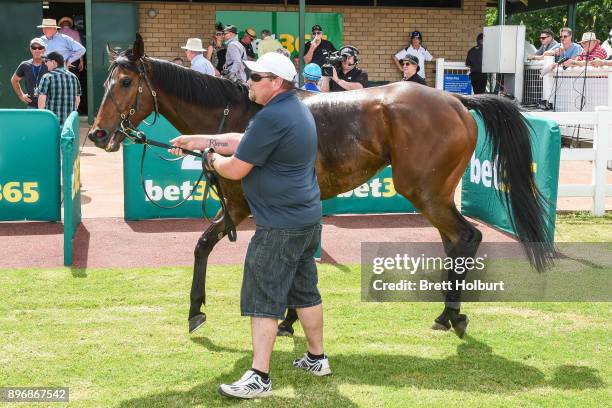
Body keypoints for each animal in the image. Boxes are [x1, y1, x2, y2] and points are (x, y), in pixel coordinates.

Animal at [89, 35, 556, 340]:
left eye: (126, 83)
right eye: (106, 83)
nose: (98, 134)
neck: (240, 115)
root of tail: (457, 100)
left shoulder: (247, 207)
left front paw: (278, 319)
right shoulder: (240, 208)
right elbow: (205, 245)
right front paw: (203, 311)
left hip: (425, 191)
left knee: (467, 235)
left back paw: (453, 316)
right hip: (436, 194)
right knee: (454, 241)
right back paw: (448, 314)